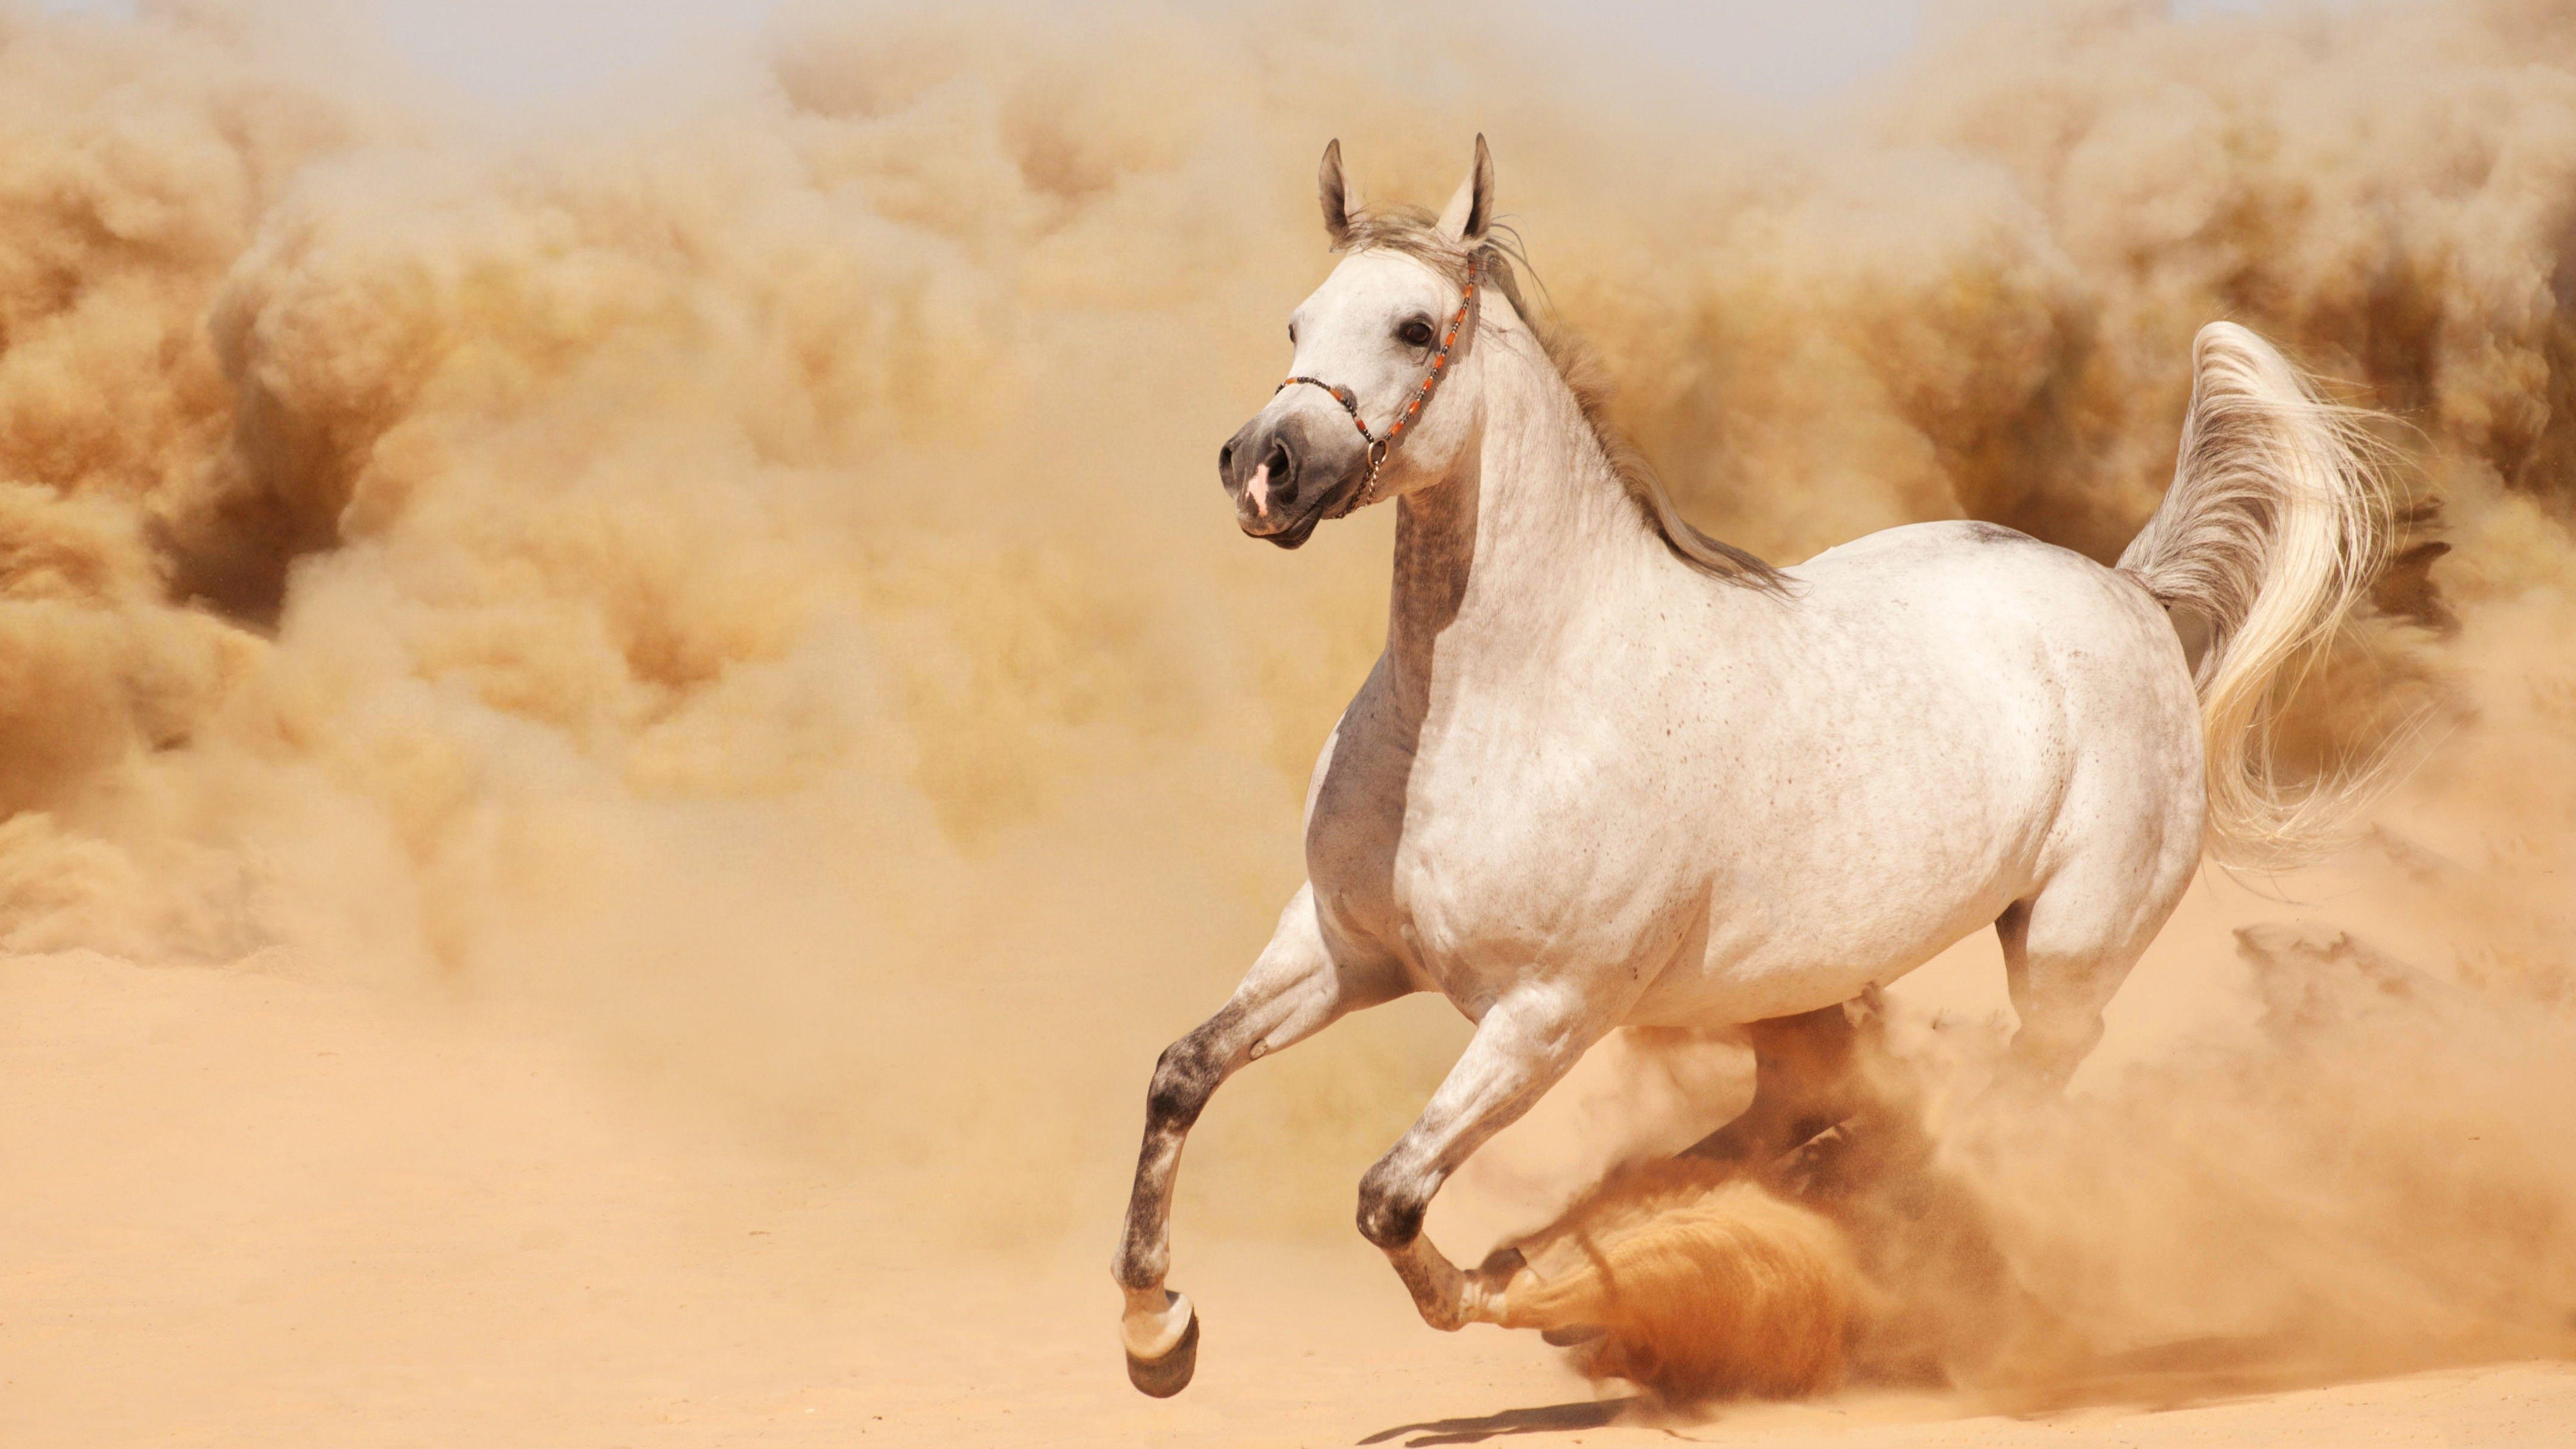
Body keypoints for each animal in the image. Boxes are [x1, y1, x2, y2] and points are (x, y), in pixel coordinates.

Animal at [1112, 135, 2397, 1397]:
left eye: (1415, 328)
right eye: (1297, 322)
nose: (1262, 468)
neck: (1500, 706)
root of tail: (2127, 594)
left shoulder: (1546, 1014)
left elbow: (1390, 1198)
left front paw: (1515, 1289)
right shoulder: (1341, 948)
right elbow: (1182, 1071)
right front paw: (1156, 1331)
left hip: (2067, 955)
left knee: (2002, 1103)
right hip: (1806, 993)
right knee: (1813, 1114)